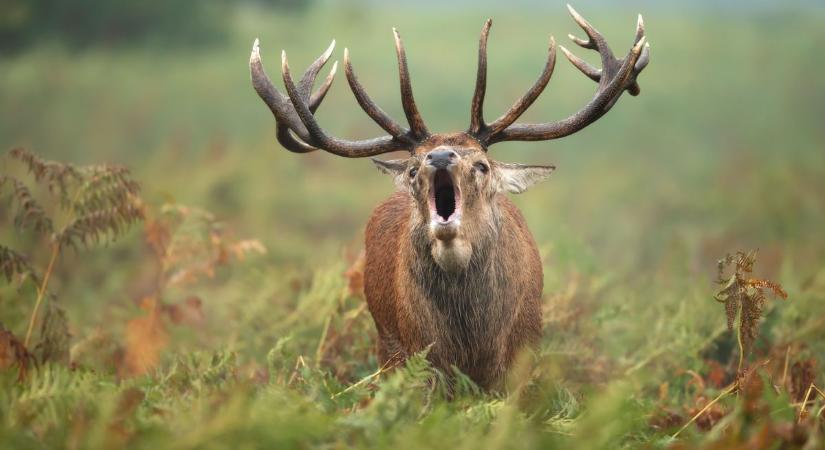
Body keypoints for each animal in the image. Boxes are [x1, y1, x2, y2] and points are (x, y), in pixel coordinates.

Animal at [248, 4, 648, 390]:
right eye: (412, 170)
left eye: (482, 165)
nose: (439, 156)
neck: (472, 347)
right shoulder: (415, 356)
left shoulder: (521, 358)